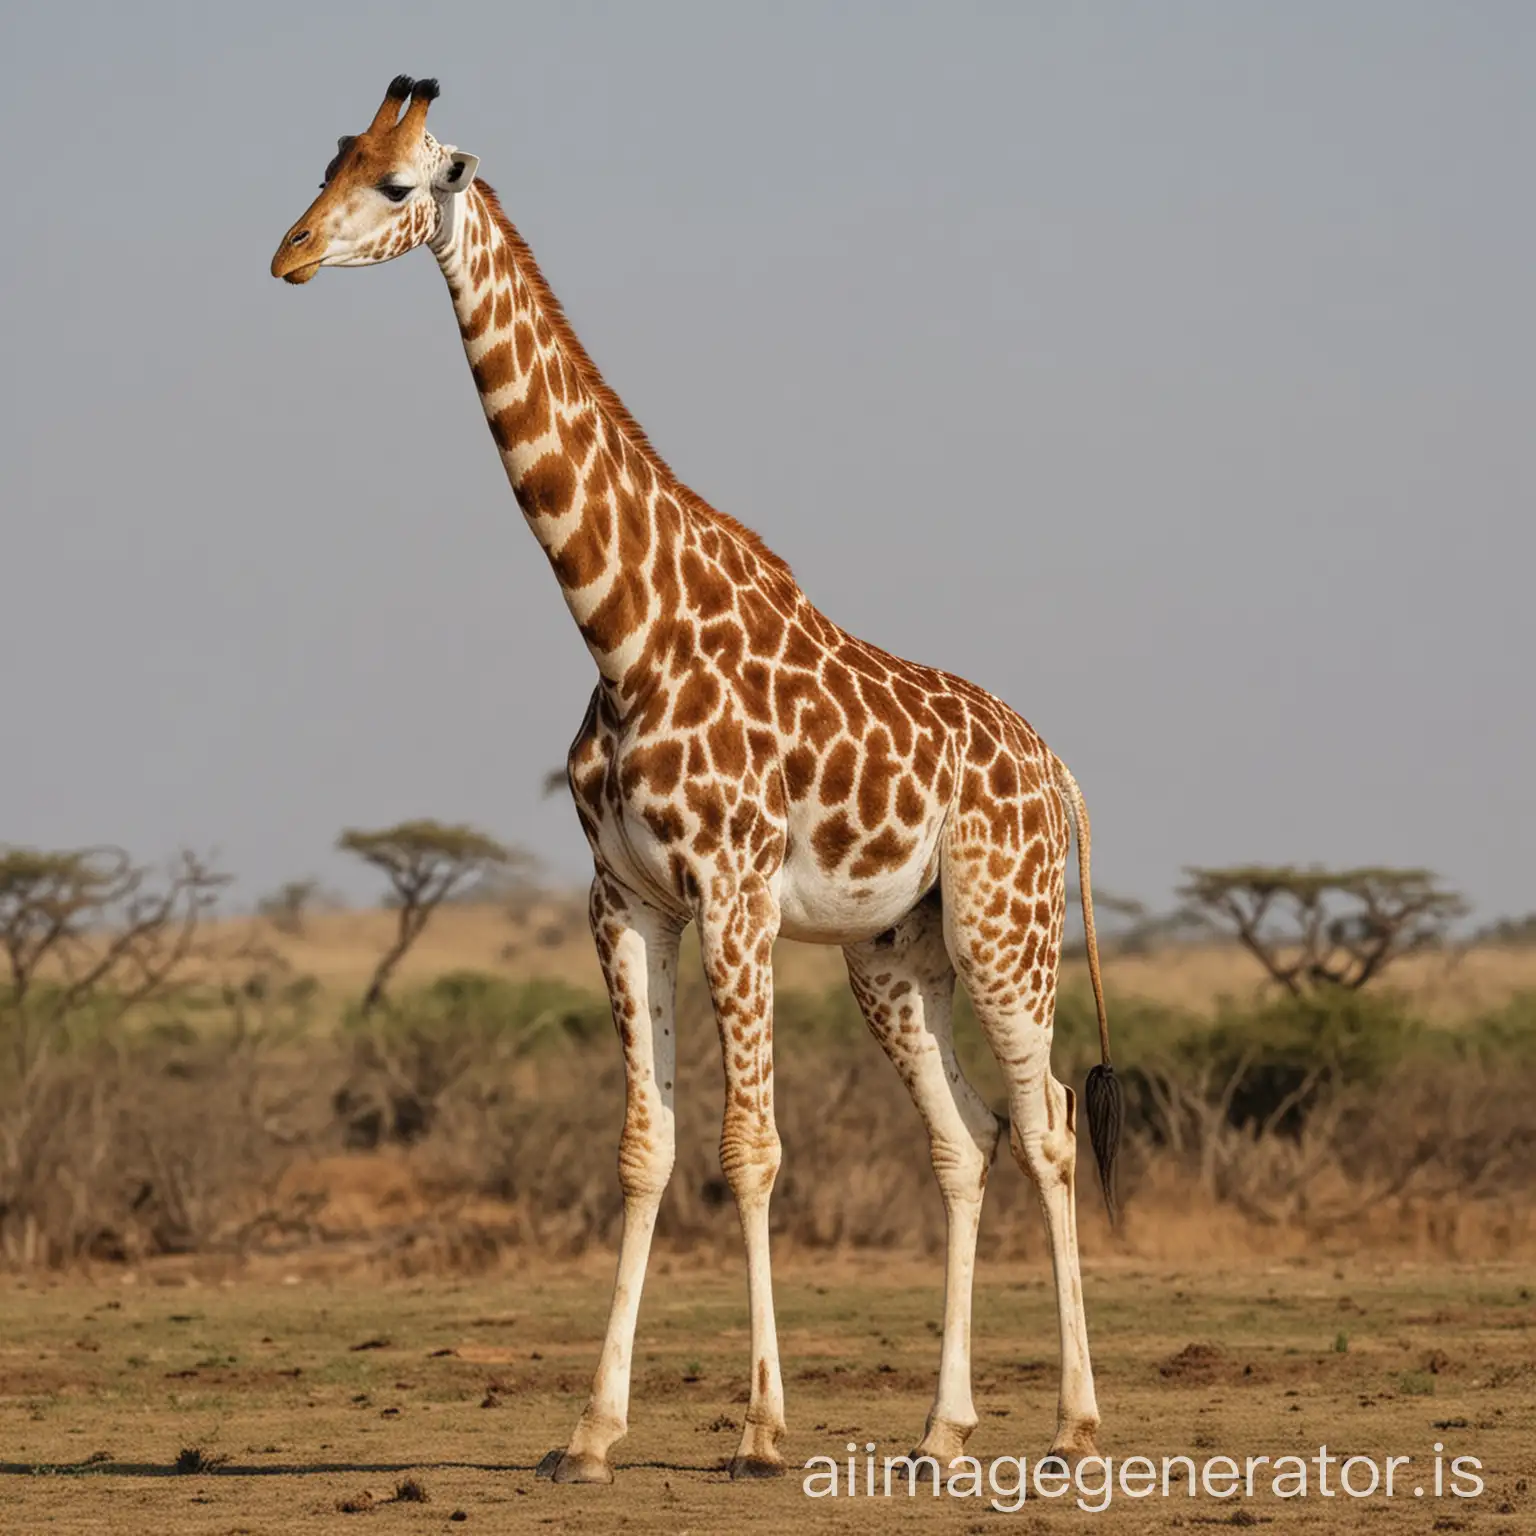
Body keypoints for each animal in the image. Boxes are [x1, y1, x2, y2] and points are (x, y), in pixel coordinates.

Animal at [270, 74, 1124, 1486]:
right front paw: (590, 1432)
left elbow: (750, 1148)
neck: (621, 630)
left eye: (396, 183)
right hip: (893, 950)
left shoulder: (733, 894)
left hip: (1008, 927)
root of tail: (1058, 770)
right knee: (964, 1139)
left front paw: (761, 1429)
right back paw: (942, 1429)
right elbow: (646, 1147)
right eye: (328, 159)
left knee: (1048, 1118)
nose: (286, 254)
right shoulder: (625, 901)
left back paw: (1073, 1422)